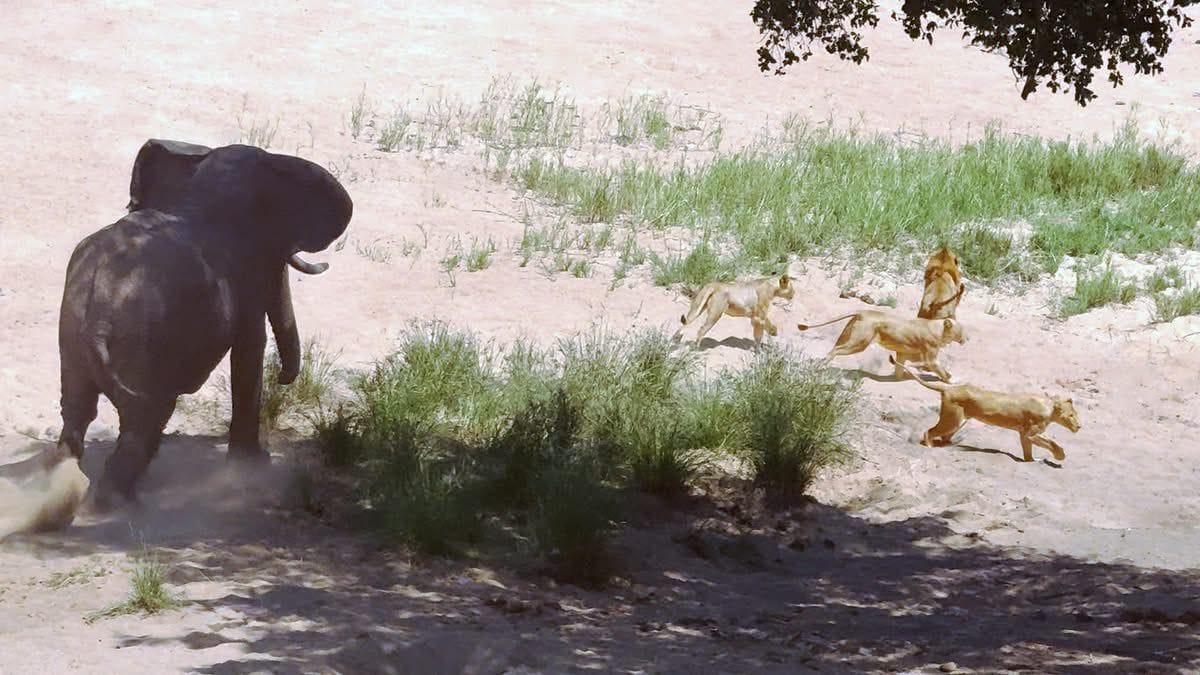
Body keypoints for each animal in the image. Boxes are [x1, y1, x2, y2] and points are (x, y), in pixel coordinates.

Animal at [56, 139, 353, 510]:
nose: (285, 379)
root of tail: (97, 317)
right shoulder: (248, 267)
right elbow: (250, 346)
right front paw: (255, 464)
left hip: (73, 339)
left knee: (77, 410)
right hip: (141, 349)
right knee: (144, 418)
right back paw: (122, 505)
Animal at [796, 309, 965, 381]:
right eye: (961, 330)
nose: (966, 338)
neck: (940, 330)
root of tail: (862, 312)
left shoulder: (904, 354)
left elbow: (899, 370)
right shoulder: (930, 357)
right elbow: (939, 369)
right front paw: (951, 380)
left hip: (848, 337)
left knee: (834, 346)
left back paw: (817, 362)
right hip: (859, 343)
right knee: (836, 350)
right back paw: (823, 365)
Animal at [894, 358, 1081, 462]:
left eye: (1076, 414)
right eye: (1071, 415)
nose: (1079, 426)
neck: (1049, 408)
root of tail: (949, 388)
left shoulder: (1024, 434)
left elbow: (1029, 451)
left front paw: (1033, 460)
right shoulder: (1031, 433)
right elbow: (1051, 443)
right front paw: (1059, 456)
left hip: (959, 421)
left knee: (944, 436)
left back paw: (950, 446)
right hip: (953, 419)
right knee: (929, 431)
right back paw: (930, 447)